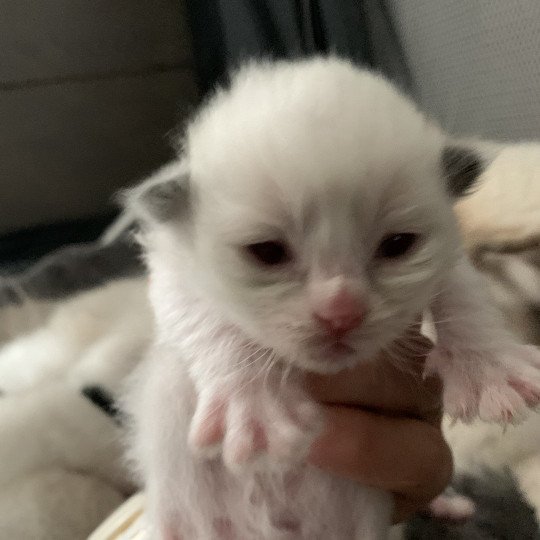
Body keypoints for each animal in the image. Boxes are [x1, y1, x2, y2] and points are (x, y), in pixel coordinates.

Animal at [121, 57, 540, 536]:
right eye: (267, 252)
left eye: (398, 245)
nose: (341, 313)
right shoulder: (173, 268)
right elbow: (206, 318)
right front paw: (254, 403)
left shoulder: (449, 256)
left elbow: (464, 293)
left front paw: (487, 367)